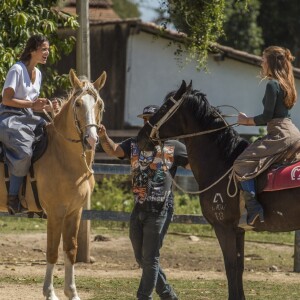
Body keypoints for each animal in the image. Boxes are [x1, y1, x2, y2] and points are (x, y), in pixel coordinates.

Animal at [0, 69, 106, 298]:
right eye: (78, 104)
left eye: (100, 104)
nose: (91, 139)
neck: (63, 155)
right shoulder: (56, 213)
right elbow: (52, 251)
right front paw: (50, 292)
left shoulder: (75, 212)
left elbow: (70, 249)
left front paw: (72, 292)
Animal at [137, 80, 300, 300]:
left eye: (164, 108)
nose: (141, 137)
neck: (223, 162)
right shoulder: (239, 231)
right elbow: (239, 268)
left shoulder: (224, 228)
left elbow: (231, 268)